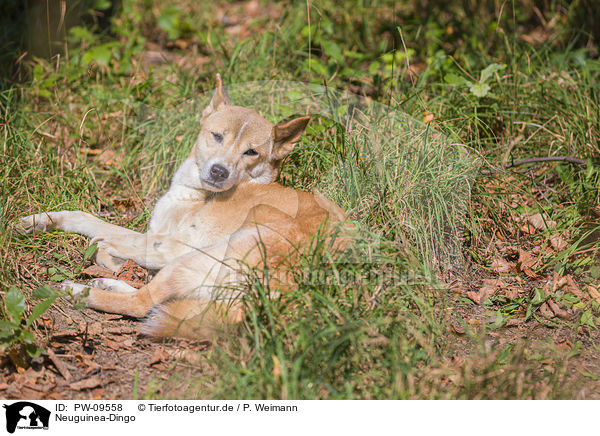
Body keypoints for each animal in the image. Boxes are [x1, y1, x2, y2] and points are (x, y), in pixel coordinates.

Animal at [18, 74, 350, 340]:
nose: (219, 171)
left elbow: (105, 240)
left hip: (206, 254)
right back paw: (110, 283)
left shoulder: (173, 244)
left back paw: (77, 291)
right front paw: (40, 221)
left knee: (141, 304)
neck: (199, 194)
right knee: (151, 297)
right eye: (217, 136)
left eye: (251, 152)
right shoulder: (156, 232)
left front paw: (110, 256)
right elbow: (85, 217)